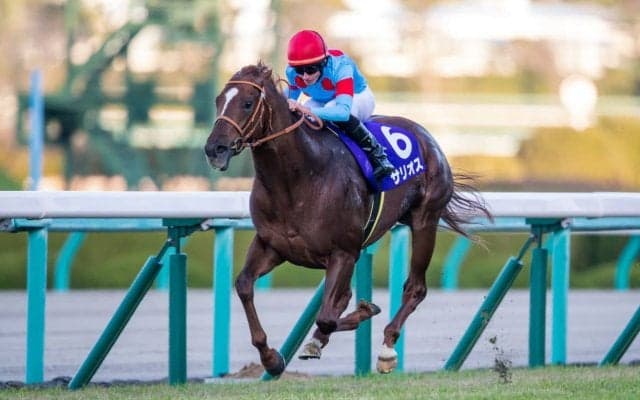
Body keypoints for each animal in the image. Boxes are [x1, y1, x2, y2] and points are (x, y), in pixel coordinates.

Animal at [204, 62, 491, 377]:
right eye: (218, 101)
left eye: (247, 103)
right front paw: (271, 359)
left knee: (415, 288)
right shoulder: (272, 246)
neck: (298, 179)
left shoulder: (343, 252)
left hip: (425, 221)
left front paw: (363, 313)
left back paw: (387, 349)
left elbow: (327, 316)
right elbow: (244, 285)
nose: (214, 149)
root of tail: (426, 136)